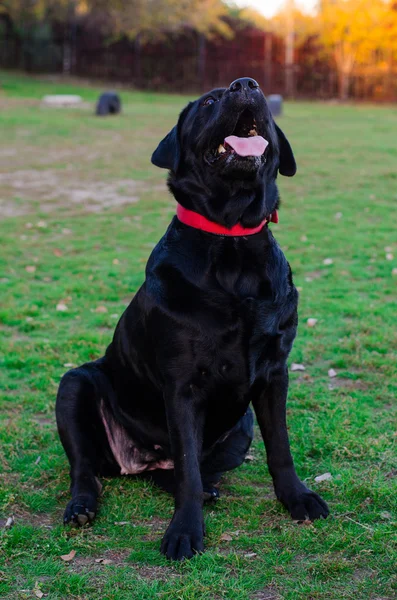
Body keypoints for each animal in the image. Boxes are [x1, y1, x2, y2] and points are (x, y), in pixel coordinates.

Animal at [55, 77, 328, 560]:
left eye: (259, 94)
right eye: (209, 101)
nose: (246, 84)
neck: (232, 241)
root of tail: (140, 460)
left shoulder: (274, 374)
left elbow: (280, 447)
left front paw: (297, 498)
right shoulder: (182, 385)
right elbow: (187, 467)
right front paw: (184, 531)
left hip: (240, 428)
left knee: (186, 470)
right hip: (73, 385)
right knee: (88, 467)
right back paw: (82, 506)